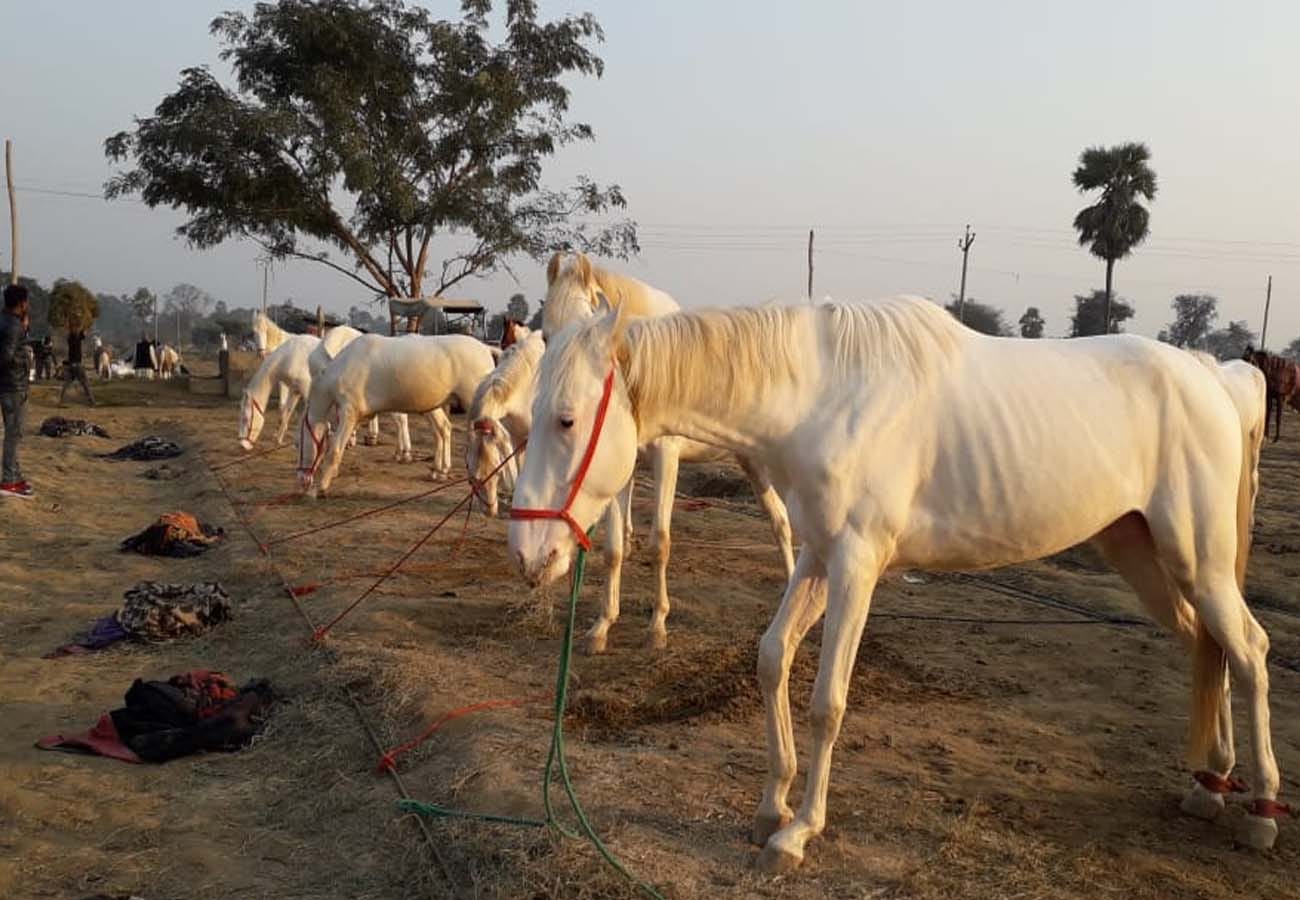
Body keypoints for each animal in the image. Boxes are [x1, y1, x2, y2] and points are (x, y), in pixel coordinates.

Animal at [298, 333, 495, 496]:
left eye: (297, 443)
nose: (301, 478)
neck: (344, 368)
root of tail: (486, 349)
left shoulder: (349, 413)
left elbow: (335, 449)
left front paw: (320, 487)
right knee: (444, 428)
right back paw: (440, 471)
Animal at [509, 296, 1286, 869]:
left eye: (567, 420)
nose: (527, 552)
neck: (822, 399)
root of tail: (1216, 380)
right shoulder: (817, 559)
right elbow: (771, 660)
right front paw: (770, 805)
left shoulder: (856, 566)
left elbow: (827, 701)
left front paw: (799, 832)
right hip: (1146, 556)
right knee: (1206, 646)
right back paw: (1210, 783)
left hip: (1199, 560)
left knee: (1248, 650)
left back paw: (1262, 812)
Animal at [536, 251, 795, 652]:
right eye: (546, 336)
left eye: (586, 333)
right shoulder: (620, 467)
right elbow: (614, 548)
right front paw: (602, 626)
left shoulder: (666, 460)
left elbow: (660, 542)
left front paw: (657, 625)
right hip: (751, 462)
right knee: (779, 521)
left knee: (787, 524)